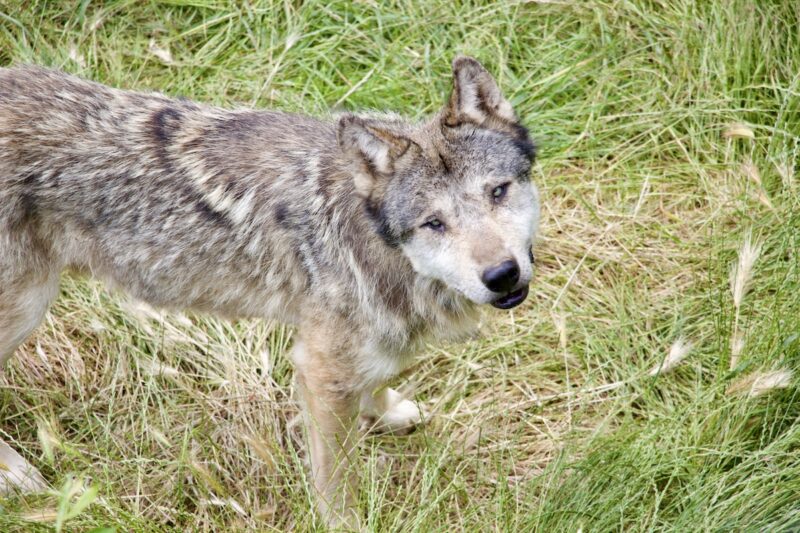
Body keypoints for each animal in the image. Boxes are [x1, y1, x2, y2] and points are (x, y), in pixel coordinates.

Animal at [0, 56, 539, 528]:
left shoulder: (352, 350)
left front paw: (387, 410)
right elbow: (336, 480)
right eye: (434, 223)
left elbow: (380, 377)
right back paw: (15, 473)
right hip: (27, 309)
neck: (372, 241)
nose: (501, 275)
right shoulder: (319, 366)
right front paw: (345, 524)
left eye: (498, 191)